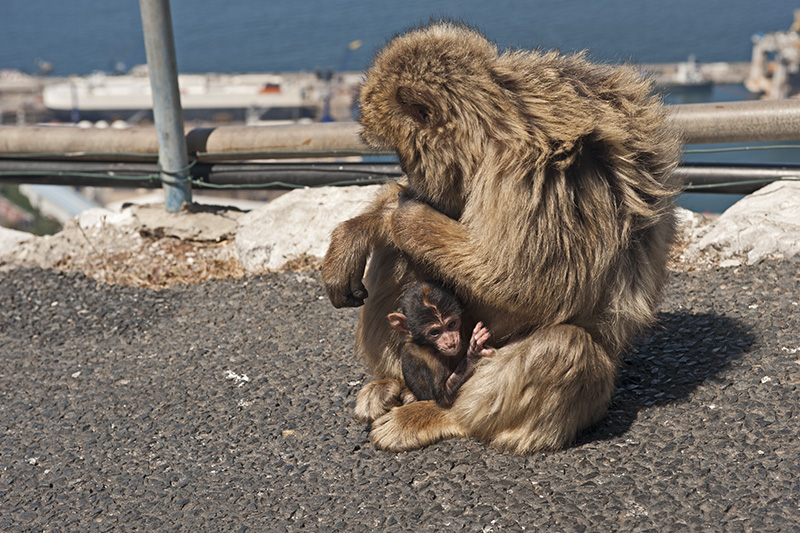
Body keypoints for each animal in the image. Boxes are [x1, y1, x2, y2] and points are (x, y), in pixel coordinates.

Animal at [322, 21, 680, 454]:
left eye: (403, 153)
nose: (410, 175)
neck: (495, 126)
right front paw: (360, 228)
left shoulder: (533, 173)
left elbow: (531, 286)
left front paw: (404, 215)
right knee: (400, 258)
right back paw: (393, 383)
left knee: (567, 347)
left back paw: (441, 414)